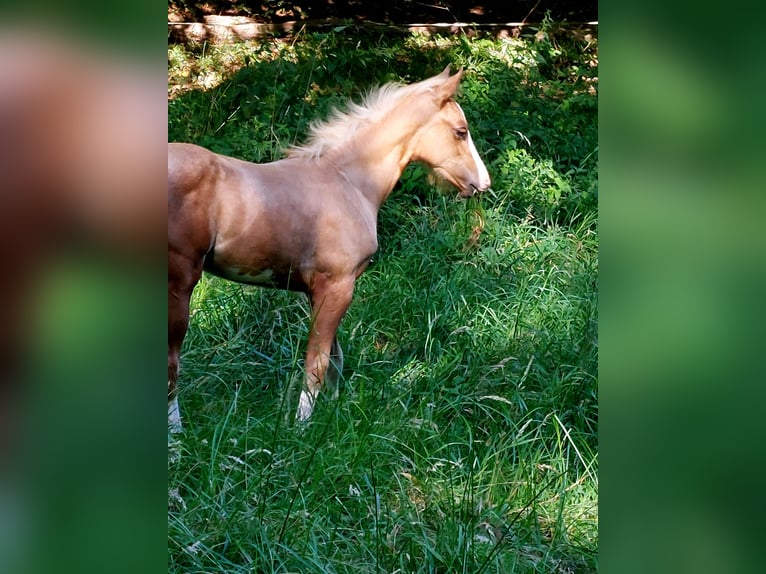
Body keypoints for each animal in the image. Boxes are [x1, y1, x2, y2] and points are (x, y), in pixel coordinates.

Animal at [168, 66, 491, 430]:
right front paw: (302, 427)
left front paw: (332, 419)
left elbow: (335, 358)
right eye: (461, 131)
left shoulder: (320, 290)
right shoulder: (337, 286)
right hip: (179, 284)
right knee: (170, 363)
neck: (350, 183)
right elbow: (318, 362)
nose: (483, 182)